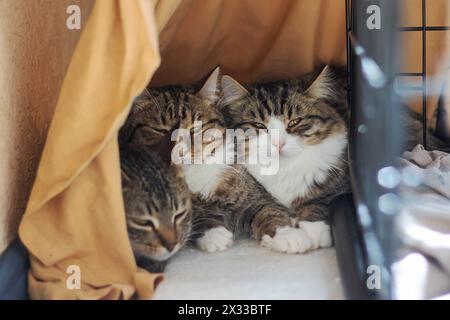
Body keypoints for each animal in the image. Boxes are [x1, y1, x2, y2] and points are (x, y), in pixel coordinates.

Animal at [220, 65, 350, 250]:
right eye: (259, 125)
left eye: (294, 122)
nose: (278, 144)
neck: (283, 169)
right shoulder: (254, 198)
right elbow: (267, 213)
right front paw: (288, 238)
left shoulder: (339, 182)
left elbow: (318, 201)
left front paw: (314, 232)